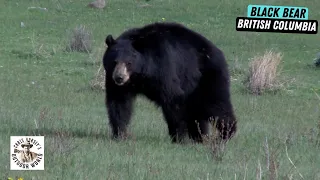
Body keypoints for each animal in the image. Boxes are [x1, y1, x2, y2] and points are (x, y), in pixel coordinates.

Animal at [104, 21, 236, 143]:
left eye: (129, 63)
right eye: (114, 61)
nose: (119, 77)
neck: (140, 74)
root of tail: (218, 52)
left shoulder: (164, 67)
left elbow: (173, 99)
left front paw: (178, 137)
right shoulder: (116, 82)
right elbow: (119, 102)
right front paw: (120, 134)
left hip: (207, 77)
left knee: (215, 104)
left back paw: (225, 133)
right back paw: (199, 137)